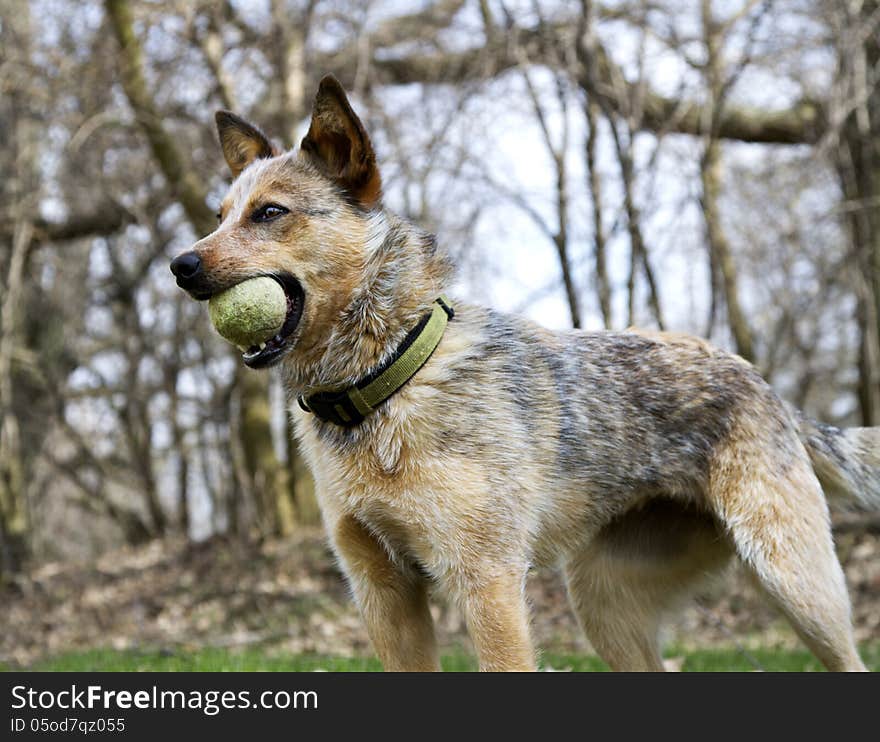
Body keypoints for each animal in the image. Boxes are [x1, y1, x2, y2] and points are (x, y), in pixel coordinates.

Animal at [172, 75, 880, 676]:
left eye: (270, 213)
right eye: (219, 215)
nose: (180, 265)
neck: (387, 377)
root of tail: (767, 387)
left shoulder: (487, 581)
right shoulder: (383, 592)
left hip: (796, 583)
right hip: (603, 602)